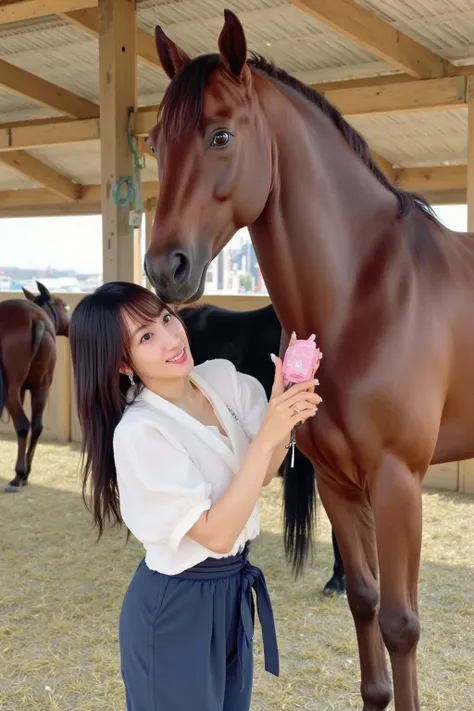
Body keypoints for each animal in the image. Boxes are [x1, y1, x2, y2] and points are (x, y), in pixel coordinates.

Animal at [0, 280, 70, 492]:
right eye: (64, 306)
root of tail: (35, 319)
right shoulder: (27, 389)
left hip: (12, 390)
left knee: (23, 425)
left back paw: (17, 476)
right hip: (41, 386)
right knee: (36, 426)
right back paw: (25, 475)